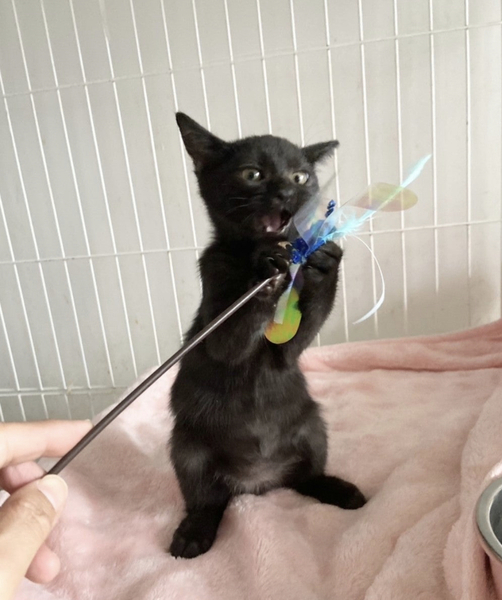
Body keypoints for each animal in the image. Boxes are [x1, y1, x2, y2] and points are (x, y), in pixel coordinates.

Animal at [169, 113, 366, 559]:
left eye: (301, 176)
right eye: (252, 174)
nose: (287, 192)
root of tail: (257, 483)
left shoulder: (287, 352)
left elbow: (300, 333)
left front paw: (324, 260)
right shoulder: (215, 297)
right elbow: (229, 339)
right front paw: (266, 266)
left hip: (311, 425)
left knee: (305, 477)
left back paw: (339, 490)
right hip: (187, 447)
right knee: (207, 499)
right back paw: (193, 533)